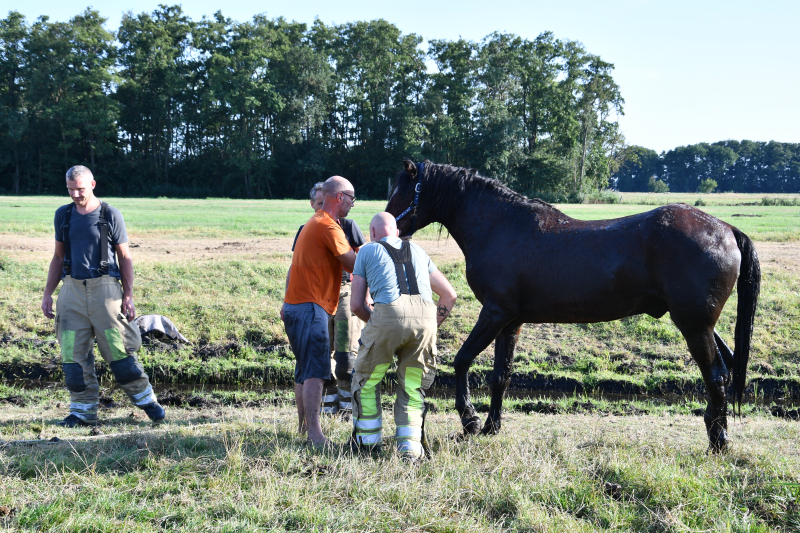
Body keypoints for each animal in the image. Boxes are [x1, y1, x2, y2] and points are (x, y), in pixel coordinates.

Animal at [385, 159, 760, 452]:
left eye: (403, 191)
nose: (383, 227)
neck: (500, 226)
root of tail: (727, 228)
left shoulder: (494, 313)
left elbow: (462, 360)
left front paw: (470, 420)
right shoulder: (511, 321)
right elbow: (500, 375)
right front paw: (492, 426)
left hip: (694, 325)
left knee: (716, 375)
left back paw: (718, 441)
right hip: (700, 324)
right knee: (726, 367)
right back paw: (718, 432)